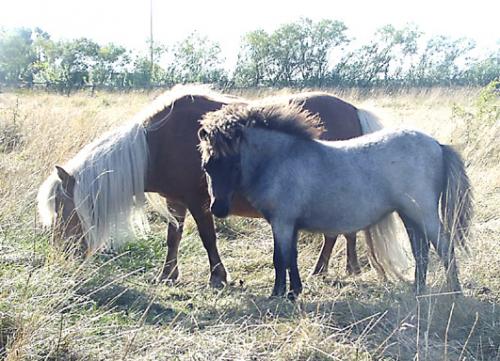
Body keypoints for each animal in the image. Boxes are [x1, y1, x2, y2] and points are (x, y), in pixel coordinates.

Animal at [36, 85, 402, 286]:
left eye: (65, 212)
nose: (62, 255)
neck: (158, 144)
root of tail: (354, 110)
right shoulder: (176, 202)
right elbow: (173, 237)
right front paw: (168, 275)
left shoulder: (200, 202)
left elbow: (208, 237)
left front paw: (217, 277)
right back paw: (339, 268)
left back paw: (334, 268)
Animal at [198, 102, 472, 298]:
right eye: (207, 166)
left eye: (234, 164)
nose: (218, 209)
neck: (281, 158)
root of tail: (437, 144)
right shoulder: (290, 224)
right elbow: (291, 258)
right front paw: (294, 291)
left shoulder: (282, 222)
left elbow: (280, 258)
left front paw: (278, 294)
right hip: (409, 214)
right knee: (420, 250)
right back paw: (418, 290)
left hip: (423, 214)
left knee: (444, 247)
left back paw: (455, 292)